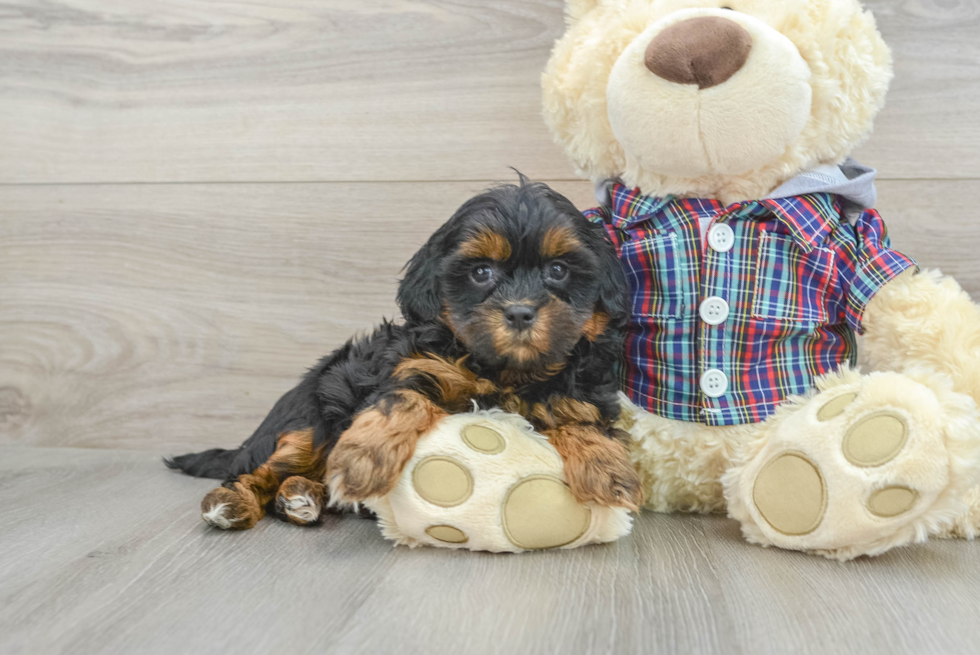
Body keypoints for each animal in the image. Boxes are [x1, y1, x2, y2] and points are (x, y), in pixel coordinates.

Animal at [168, 177, 644, 532]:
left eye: (558, 270)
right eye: (481, 272)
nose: (521, 312)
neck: (506, 372)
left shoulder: (579, 393)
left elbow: (586, 423)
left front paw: (609, 471)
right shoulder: (414, 367)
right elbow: (400, 401)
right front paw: (363, 458)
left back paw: (302, 497)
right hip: (308, 417)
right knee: (265, 467)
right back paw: (233, 502)